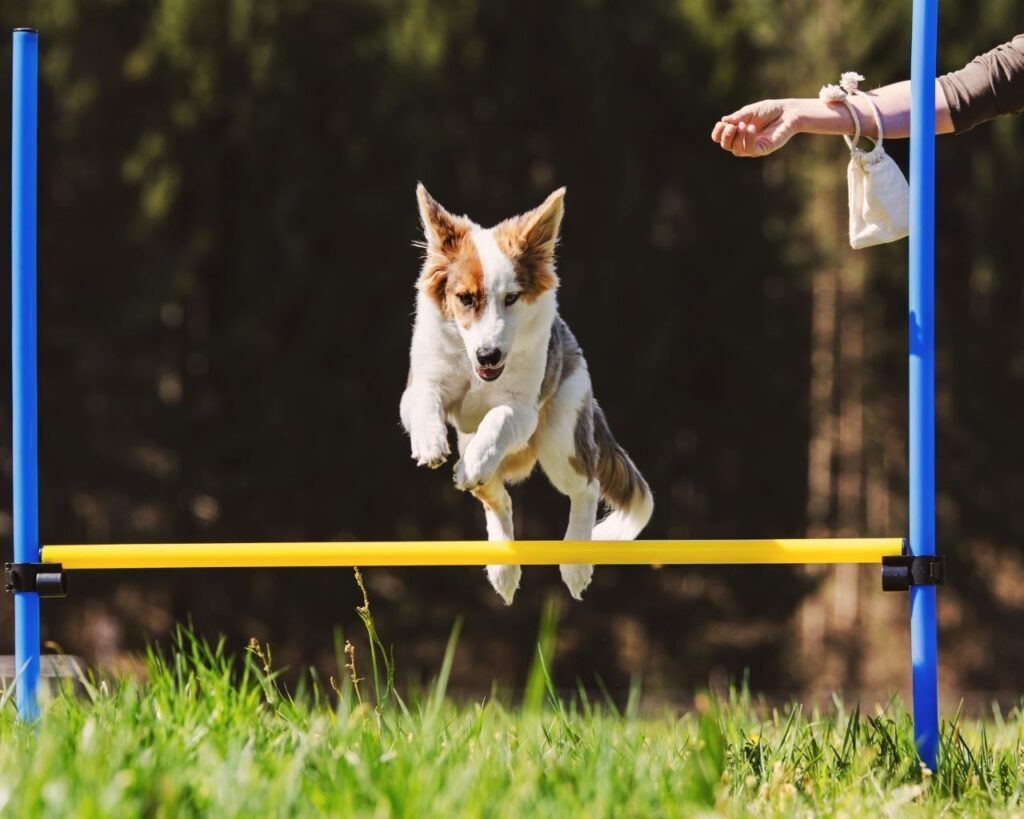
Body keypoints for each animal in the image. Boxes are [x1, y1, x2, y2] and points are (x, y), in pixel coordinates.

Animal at [399, 185, 655, 606]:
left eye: (512, 298)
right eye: (465, 298)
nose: (489, 355)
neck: (476, 371)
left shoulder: (523, 410)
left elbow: (498, 418)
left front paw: (475, 454)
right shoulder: (425, 380)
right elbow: (424, 400)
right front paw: (430, 443)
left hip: (560, 436)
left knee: (586, 486)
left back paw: (575, 563)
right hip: (485, 451)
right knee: (497, 498)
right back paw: (503, 569)